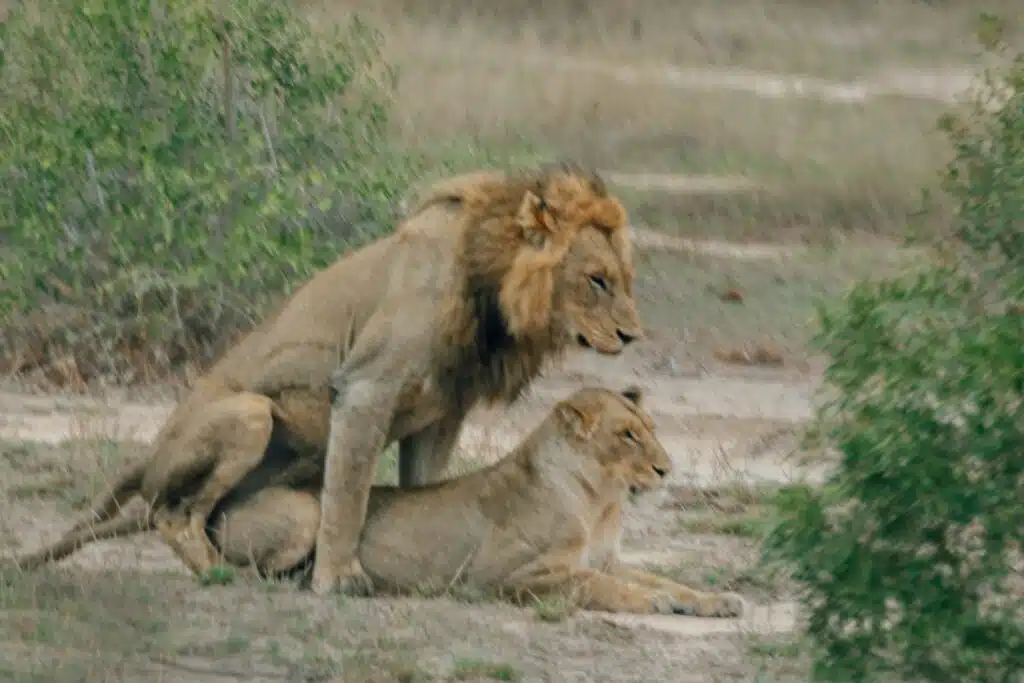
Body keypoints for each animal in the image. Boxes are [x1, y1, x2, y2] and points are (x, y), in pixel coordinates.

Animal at [11, 162, 644, 595]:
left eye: (625, 279)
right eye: (596, 280)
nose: (634, 337)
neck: (492, 291)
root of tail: (149, 455)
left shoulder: (442, 415)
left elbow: (420, 489)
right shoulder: (368, 387)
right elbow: (348, 493)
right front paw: (339, 578)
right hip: (250, 413)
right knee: (173, 515)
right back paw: (222, 576)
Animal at [13, 386, 746, 619]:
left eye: (651, 428)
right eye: (628, 435)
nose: (667, 467)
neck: (601, 500)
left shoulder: (611, 555)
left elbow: (662, 577)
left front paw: (715, 600)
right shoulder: (512, 577)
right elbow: (606, 588)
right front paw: (661, 606)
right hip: (302, 513)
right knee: (248, 561)